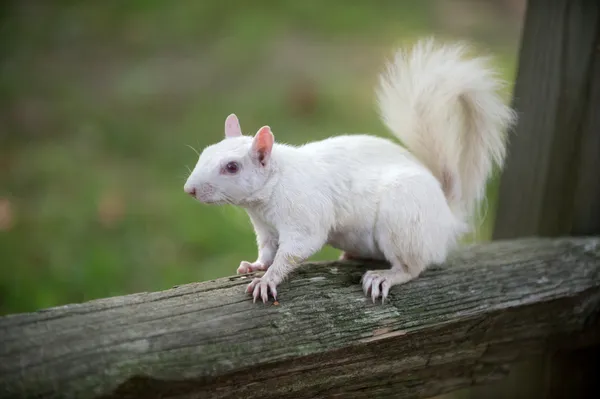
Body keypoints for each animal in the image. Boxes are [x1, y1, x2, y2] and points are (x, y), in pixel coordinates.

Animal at [183, 39, 516, 304]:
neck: (270, 190)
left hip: (403, 219)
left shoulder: (304, 216)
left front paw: (268, 280)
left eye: (232, 167)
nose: (190, 190)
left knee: (413, 266)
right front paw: (255, 266)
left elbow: (292, 252)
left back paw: (385, 276)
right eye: (205, 153)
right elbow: (267, 251)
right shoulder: (265, 229)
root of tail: (447, 219)